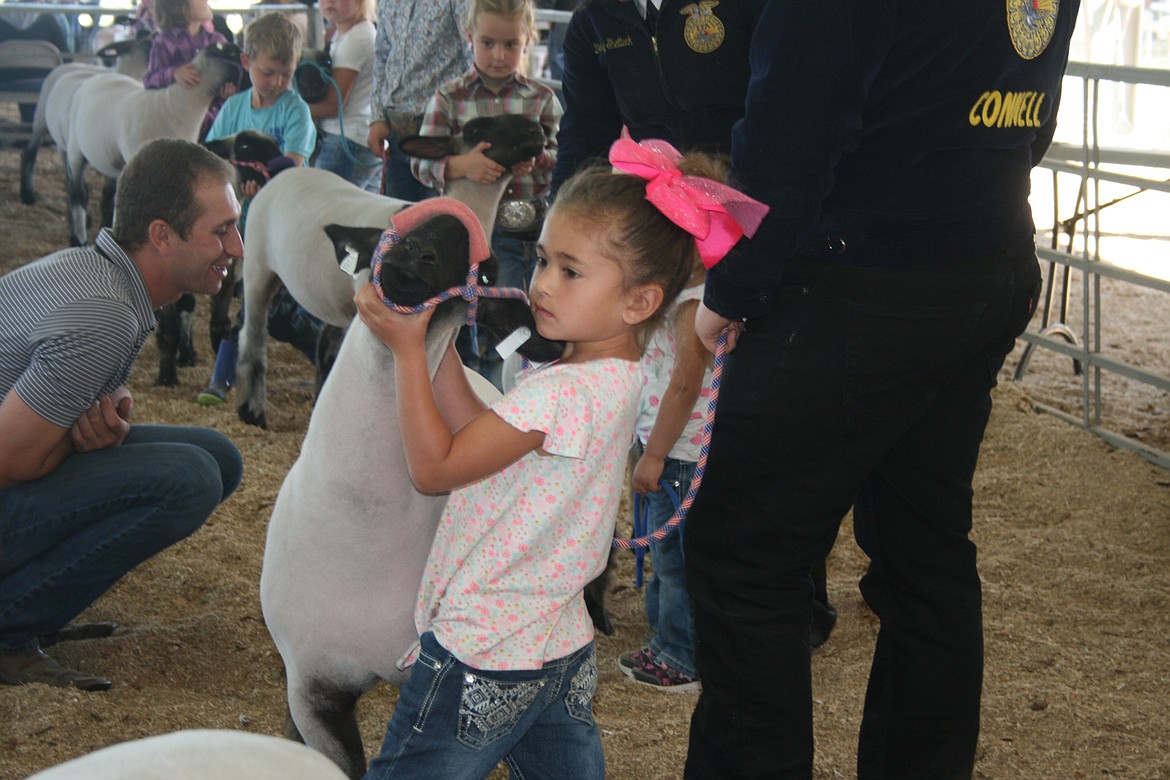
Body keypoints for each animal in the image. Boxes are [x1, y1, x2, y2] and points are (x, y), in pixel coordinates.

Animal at [236, 113, 552, 430]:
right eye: (475, 129)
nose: (536, 131)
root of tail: (283, 172)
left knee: (323, 346)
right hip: (256, 265)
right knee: (252, 337)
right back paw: (252, 412)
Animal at [260, 198, 561, 776]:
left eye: (484, 274)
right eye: (394, 234)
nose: (420, 256)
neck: (366, 525)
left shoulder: (428, 676)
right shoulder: (313, 686)